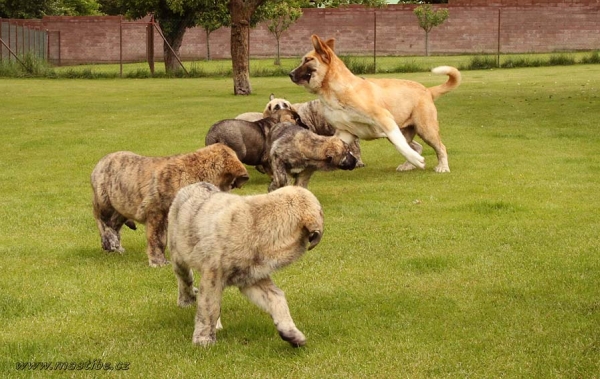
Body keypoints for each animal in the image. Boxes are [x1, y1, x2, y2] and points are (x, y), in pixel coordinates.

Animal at [89, 144, 248, 268]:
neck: (196, 173)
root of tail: (100, 162)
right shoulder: (157, 214)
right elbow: (157, 240)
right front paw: (158, 262)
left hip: (122, 204)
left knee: (114, 224)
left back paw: (116, 246)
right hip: (104, 202)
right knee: (102, 221)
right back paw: (109, 241)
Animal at [166, 183, 324, 348]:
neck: (259, 227)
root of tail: (195, 184)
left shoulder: (252, 277)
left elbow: (276, 298)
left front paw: (292, 334)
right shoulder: (213, 274)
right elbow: (209, 308)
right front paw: (203, 340)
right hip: (178, 255)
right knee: (185, 279)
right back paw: (186, 299)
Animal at [288, 34, 462, 174]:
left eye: (308, 60)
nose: (289, 74)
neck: (337, 92)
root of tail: (427, 90)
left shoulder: (384, 118)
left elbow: (400, 145)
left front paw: (418, 160)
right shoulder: (345, 132)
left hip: (425, 129)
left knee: (440, 147)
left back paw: (442, 167)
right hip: (407, 130)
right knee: (417, 146)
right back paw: (408, 165)